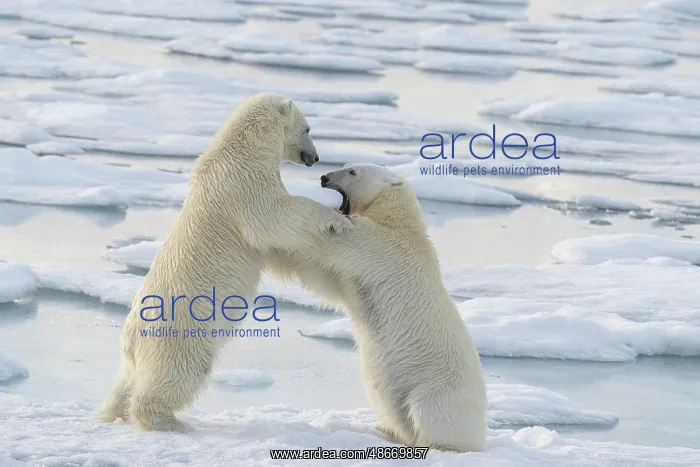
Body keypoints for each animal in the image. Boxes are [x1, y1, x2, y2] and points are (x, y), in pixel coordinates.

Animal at [99, 92, 352, 432]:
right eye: (309, 128)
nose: (315, 158)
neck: (241, 147)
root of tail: (130, 340)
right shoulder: (242, 182)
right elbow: (274, 215)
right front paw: (337, 221)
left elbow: (275, 246)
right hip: (182, 332)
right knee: (180, 371)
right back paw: (169, 421)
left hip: (137, 353)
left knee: (124, 383)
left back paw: (111, 414)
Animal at [267, 163, 487, 452]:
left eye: (352, 172)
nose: (324, 177)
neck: (398, 221)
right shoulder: (356, 273)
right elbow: (320, 276)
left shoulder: (381, 245)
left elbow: (340, 243)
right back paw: (384, 430)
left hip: (437, 388)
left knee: (428, 413)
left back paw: (437, 445)